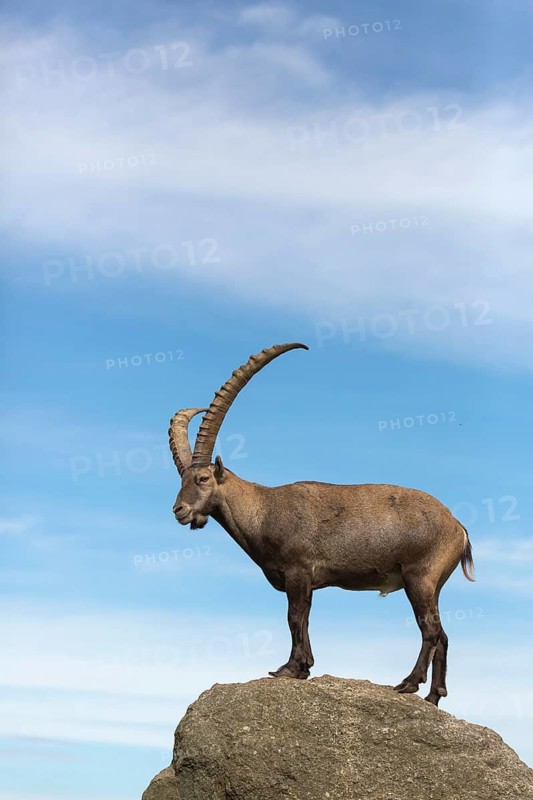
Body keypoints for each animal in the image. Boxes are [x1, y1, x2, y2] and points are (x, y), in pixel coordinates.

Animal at [169, 343, 475, 705]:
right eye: (181, 479)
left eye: (202, 478)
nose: (179, 510)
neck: (263, 509)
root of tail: (458, 527)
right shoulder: (304, 580)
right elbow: (304, 619)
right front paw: (304, 667)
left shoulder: (298, 570)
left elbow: (295, 617)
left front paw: (288, 668)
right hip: (434, 585)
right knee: (443, 635)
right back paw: (433, 697)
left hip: (420, 578)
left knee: (430, 631)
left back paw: (409, 683)